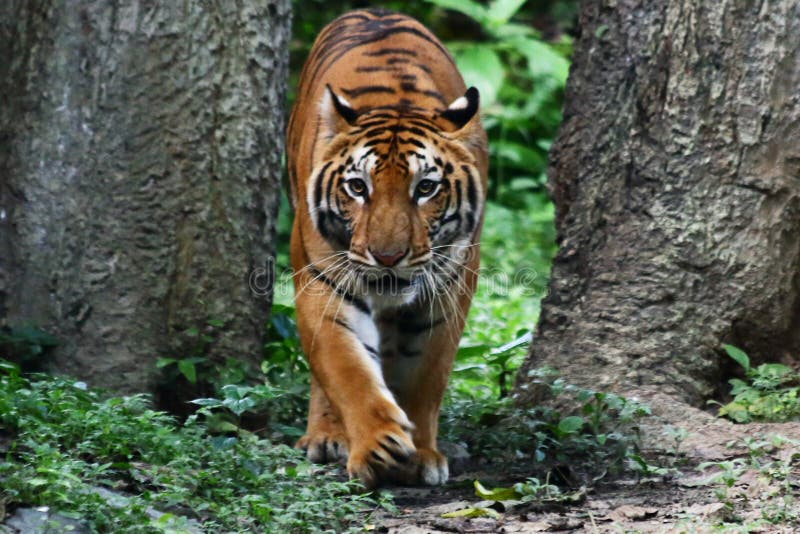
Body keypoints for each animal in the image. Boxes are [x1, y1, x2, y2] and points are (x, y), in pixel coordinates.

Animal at [288, 8, 488, 488]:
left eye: (426, 188)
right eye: (358, 187)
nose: (388, 257)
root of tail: (376, 11)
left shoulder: (448, 292)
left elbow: (424, 376)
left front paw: (422, 455)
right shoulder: (324, 283)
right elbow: (346, 367)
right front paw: (377, 444)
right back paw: (326, 436)